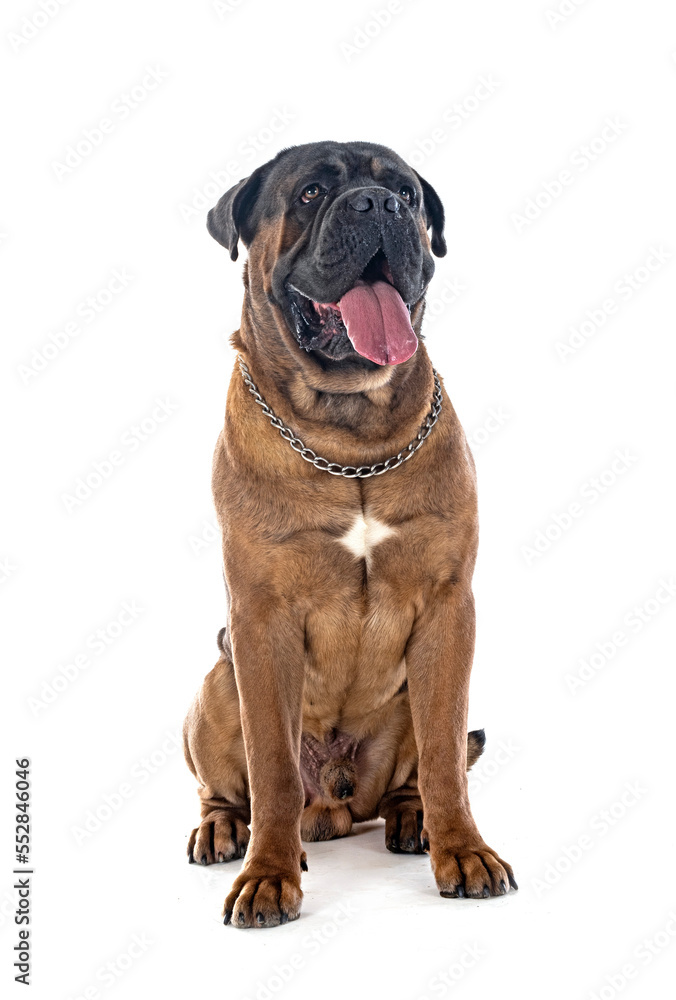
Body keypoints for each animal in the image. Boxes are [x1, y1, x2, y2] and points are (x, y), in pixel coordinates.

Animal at [182, 141, 516, 928]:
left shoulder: (449, 611)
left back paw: (411, 819)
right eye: (309, 193)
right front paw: (267, 876)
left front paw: (464, 851)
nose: (379, 205)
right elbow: (272, 769)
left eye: (407, 194)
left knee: (415, 772)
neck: (350, 436)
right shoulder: (261, 620)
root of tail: (333, 804)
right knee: (231, 788)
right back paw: (222, 830)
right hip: (216, 686)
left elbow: (446, 758)